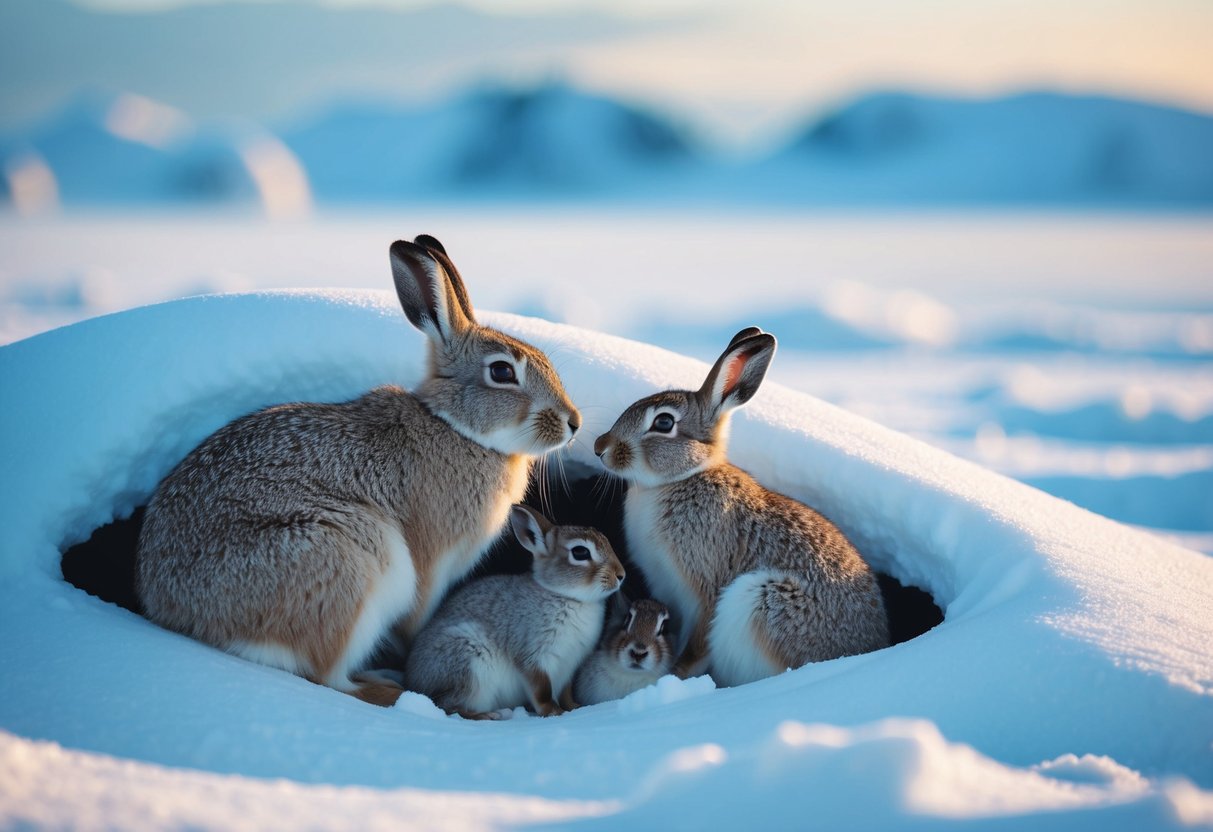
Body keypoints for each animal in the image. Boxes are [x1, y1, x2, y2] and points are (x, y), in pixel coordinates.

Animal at [135, 235, 581, 707]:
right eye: (501, 371)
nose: (574, 423)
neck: (457, 429)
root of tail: (184, 616)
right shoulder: (430, 562)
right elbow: (417, 617)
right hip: (350, 562)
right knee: (327, 675)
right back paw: (386, 688)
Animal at [404, 504, 625, 719]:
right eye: (580, 552)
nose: (621, 575)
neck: (566, 596)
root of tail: (415, 683)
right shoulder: (532, 654)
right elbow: (541, 690)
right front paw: (553, 712)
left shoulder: (568, 666)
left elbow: (566, 692)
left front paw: (575, 708)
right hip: (468, 662)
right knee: (447, 705)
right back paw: (491, 715)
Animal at [593, 327, 889, 687]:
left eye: (663, 423)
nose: (600, 447)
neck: (680, 478)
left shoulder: (705, 584)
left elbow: (699, 640)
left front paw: (677, 674)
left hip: (762, 599)